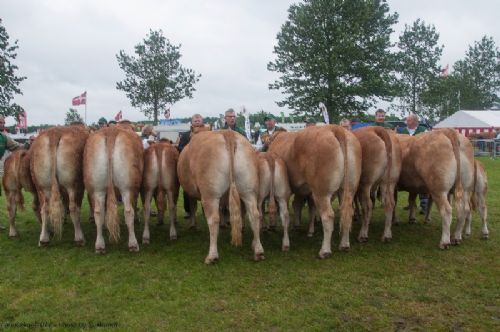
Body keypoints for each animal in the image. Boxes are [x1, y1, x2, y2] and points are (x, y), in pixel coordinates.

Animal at [180, 130, 266, 264]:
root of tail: (228, 133)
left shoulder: (190, 192)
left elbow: (193, 207)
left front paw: (193, 225)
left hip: (210, 193)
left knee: (213, 219)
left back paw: (212, 256)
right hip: (249, 190)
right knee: (254, 215)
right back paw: (258, 251)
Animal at [268, 126, 362, 258]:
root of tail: (335, 128)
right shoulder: (302, 190)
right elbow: (297, 205)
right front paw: (298, 226)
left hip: (321, 192)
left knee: (328, 216)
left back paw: (325, 251)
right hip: (349, 188)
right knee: (347, 212)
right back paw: (344, 245)